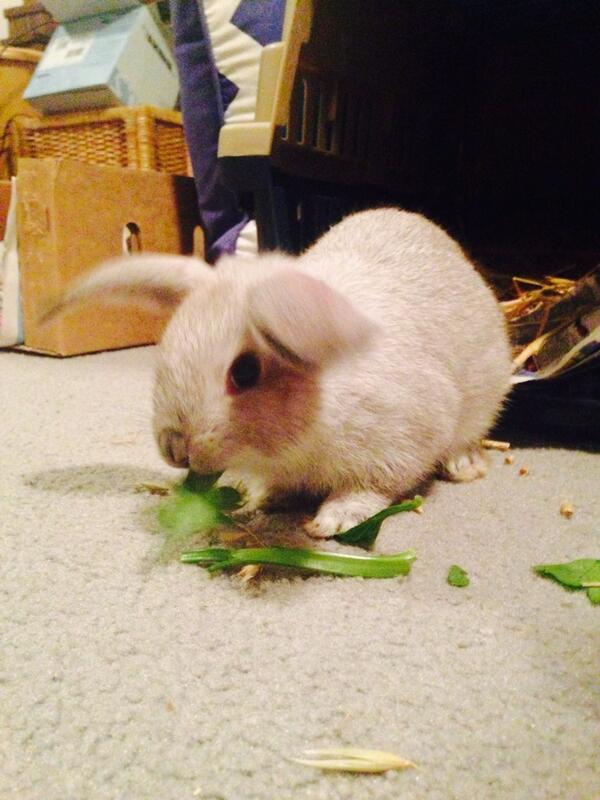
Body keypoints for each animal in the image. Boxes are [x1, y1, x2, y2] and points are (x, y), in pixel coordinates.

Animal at [45, 208, 513, 538]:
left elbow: (369, 489)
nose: (175, 450)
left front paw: (332, 522)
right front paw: (261, 500)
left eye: (245, 372)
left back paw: (464, 466)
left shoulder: (397, 444)